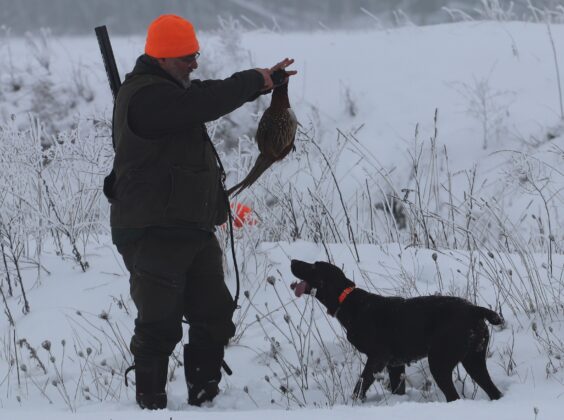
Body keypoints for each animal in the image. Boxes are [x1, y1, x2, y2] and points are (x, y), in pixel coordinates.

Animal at [290, 259, 504, 402]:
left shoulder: (378, 358)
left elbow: (360, 386)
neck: (351, 303)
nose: (293, 261)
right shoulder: (395, 365)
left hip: (440, 362)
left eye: (314, 266)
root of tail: (475, 309)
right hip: (474, 361)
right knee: (494, 392)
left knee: (454, 396)